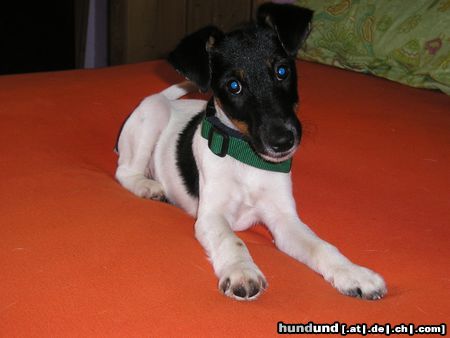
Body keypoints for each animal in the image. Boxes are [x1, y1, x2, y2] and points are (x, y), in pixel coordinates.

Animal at [116, 3, 386, 302]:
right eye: (234, 86)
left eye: (282, 71)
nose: (282, 141)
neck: (246, 156)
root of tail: (162, 98)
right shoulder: (211, 216)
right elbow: (232, 239)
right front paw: (241, 271)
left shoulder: (284, 220)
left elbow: (321, 245)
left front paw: (353, 273)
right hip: (152, 117)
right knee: (124, 170)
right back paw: (147, 186)